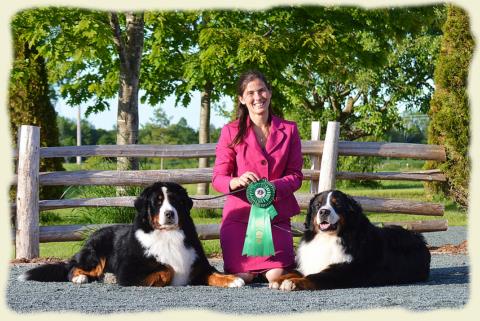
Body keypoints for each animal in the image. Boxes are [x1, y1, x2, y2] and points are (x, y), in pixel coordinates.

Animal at [19, 180, 244, 288]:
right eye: (157, 202)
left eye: (175, 200)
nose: (169, 214)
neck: (168, 235)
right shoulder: (129, 270)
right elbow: (167, 269)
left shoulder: (197, 265)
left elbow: (214, 273)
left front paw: (232, 279)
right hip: (95, 253)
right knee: (73, 268)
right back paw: (84, 278)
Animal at [270, 190, 432, 290]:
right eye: (318, 205)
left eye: (337, 204)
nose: (323, 211)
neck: (329, 237)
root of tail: (418, 237)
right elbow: (295, 272)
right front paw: (278, 280)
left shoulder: (343, 270)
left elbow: (314, 276)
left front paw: (292, 283)